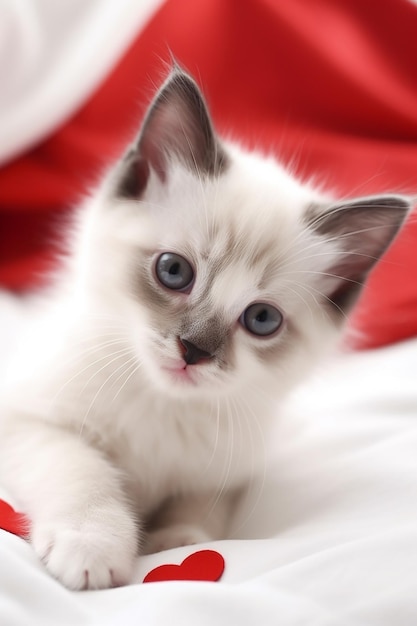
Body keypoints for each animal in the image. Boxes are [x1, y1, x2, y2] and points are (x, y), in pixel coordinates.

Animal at [0, 66, 410, 588]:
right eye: (174, 271)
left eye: (262, 320)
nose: (193, 350)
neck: (162, 407)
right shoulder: (26, 420)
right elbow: (81, 468)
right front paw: (92, 545)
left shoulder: (232, 472)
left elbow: (201, 506)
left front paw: (176, 545)